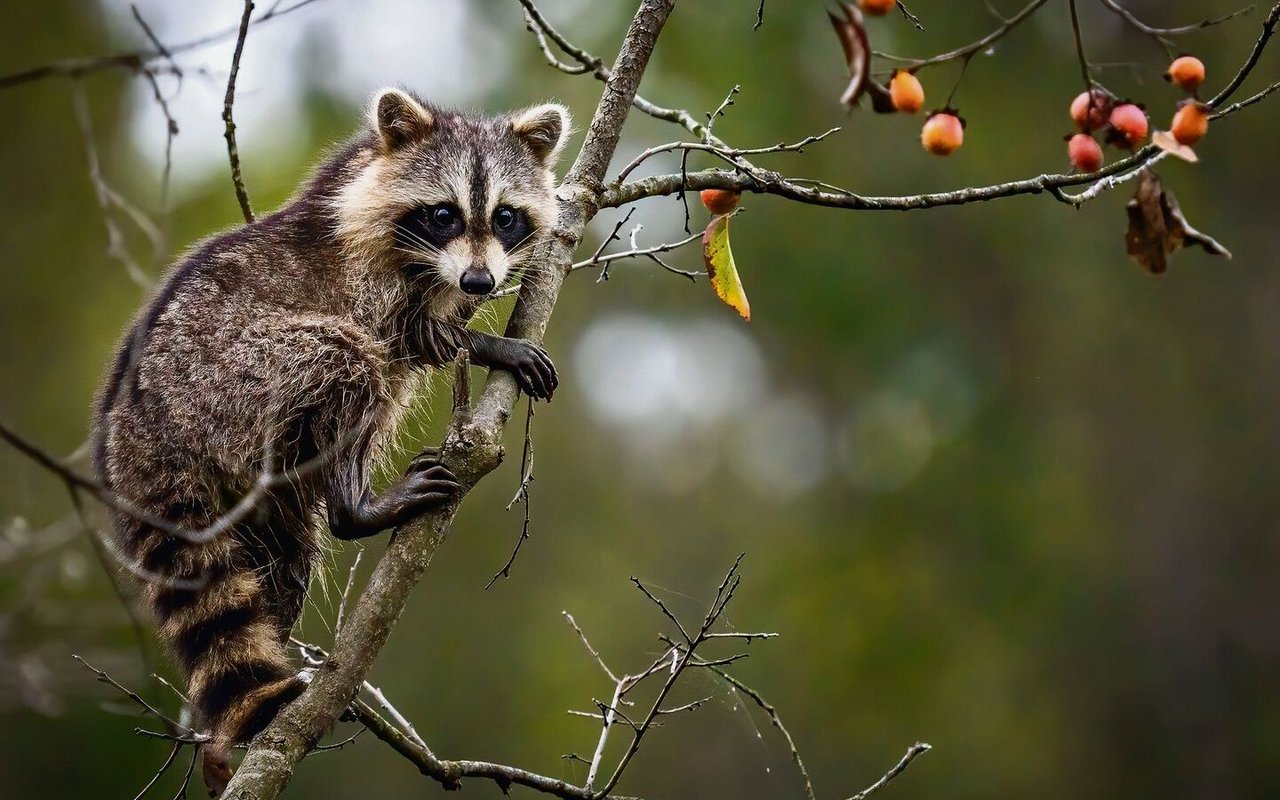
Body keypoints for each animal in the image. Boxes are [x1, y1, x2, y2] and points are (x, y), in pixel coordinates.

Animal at [92, 88, 568, 793]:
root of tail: (139, 435)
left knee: (280, 569)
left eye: (506, 217)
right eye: (444, 215)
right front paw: (485, 342)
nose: (481, 283)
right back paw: (355, 505)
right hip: (227, 377)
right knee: (344, 359)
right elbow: (406, 335)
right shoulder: (361, 271)